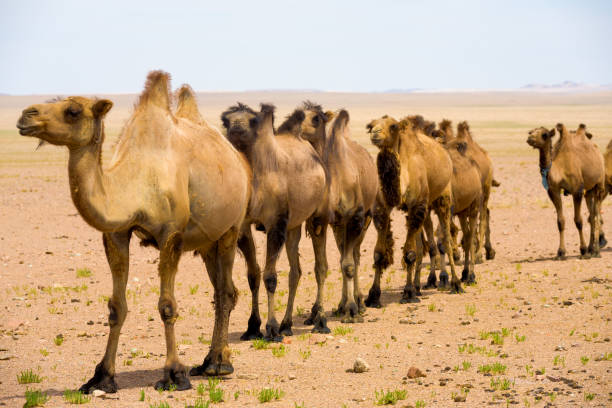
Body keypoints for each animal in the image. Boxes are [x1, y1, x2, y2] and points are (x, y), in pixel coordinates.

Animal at [16, 72, 251, 392]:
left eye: (73, 110)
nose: (26, 115)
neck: (134, 183)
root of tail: (239, 161)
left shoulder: (171, 234)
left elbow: (167, 306)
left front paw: (174, 374)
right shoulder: (116, 233)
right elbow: (117, 308)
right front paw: (101, 377)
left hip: (231, 226)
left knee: (225, 291)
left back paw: (218, 365)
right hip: (206, 243)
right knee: (221, 290)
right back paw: (208, 362)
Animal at [219, 103, 326, 340]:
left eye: (252, 120)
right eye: (226, 120)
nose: (237, 126)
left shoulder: (276, 224)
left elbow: (270, 276)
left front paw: (272, 328)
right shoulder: (243, 227)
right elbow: (253, 274)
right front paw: (252, 327)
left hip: (317, 217)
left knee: (321, 266)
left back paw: (320, 321)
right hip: (294, 225)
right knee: (296, 272)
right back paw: (287, 324)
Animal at [524, 122, 608, 260]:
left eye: (544, 134)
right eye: (531, 131)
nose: (530, 138)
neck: (559, 169)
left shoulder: (577, 190)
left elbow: (578, 220)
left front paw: (583, 250)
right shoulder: (553, 191)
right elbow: (560, 221)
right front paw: (561, 252)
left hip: (599, 185)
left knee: (596, 215)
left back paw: (595, 251)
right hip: (589, 191)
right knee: (591, 215)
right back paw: (591, 248)